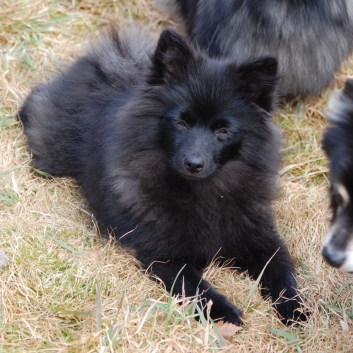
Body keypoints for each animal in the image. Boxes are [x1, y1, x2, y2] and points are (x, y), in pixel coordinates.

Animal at [19, 26, 306, 324]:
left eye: (223, 131)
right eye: (181, 122)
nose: (194, 163)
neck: (204, 192)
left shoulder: (261, 238)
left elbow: (282, 273)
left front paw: (295, 309)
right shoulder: (165, 257)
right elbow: (198, 288)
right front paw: (226, 313)